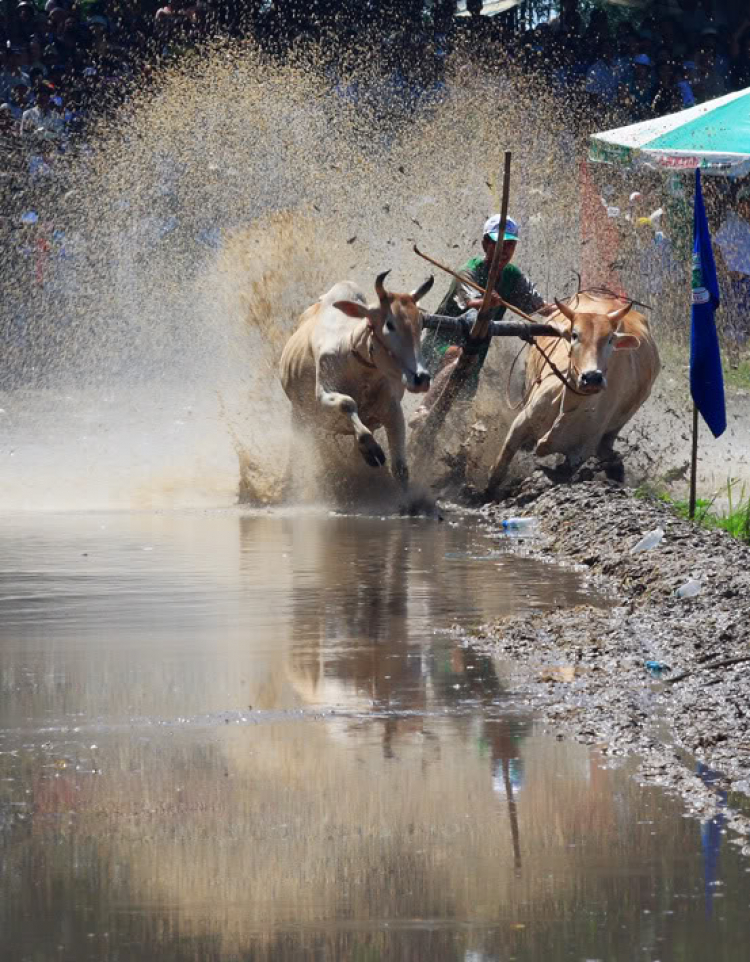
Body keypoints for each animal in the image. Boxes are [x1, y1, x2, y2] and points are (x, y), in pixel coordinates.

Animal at [280, 272, 434, 492]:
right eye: (389, 324)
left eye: (420, 323)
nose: (422, 378)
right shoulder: (324, 394)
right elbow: (347, 403)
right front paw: (371, 450)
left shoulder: (392, 411)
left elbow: (400, 469)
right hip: (300, 415)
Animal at [488, 292, 656, 492]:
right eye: (574, 335)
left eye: (610, 339)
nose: (592, 377)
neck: (570, 407)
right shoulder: (521, 424)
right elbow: (498, 469)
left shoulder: (580, 453)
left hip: (615, 428)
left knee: (606, 451)